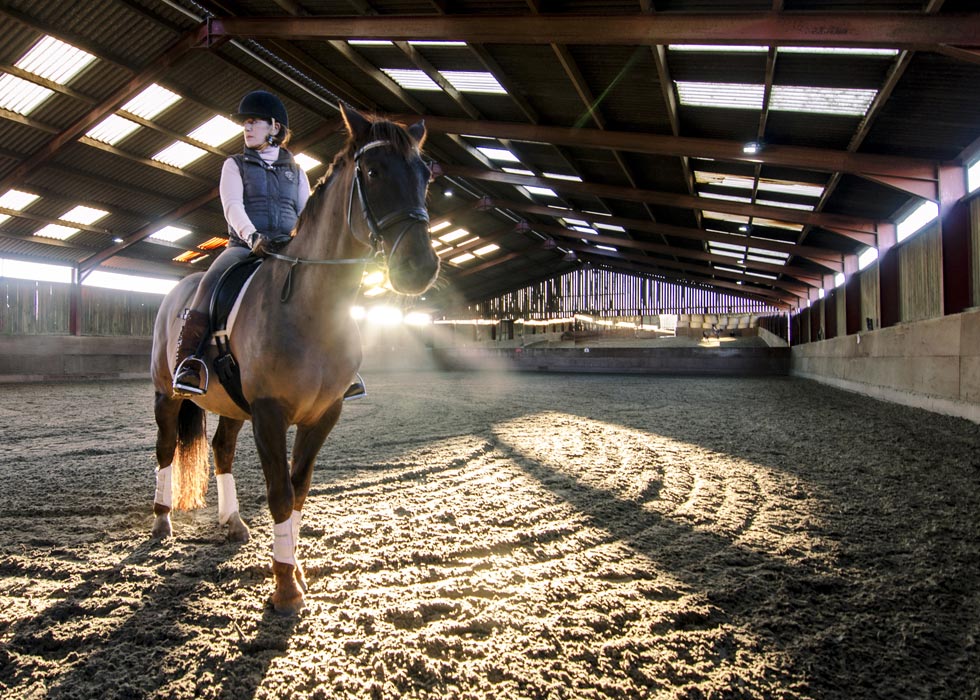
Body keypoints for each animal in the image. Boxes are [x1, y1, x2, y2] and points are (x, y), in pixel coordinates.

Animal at [149, 104, 440, 612]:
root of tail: (176, 291)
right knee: (166, 449)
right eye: (373, 171)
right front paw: (285, 589)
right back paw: (162, 522)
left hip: (231, 405)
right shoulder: (270, 413)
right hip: (168, 393)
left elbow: (300, 489)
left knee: (222, 450)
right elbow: (281, 494)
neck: (311, 308)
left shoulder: (324, 414)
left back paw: (232, 522)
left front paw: (294, 569)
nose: (419, 268)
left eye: (424, 174)